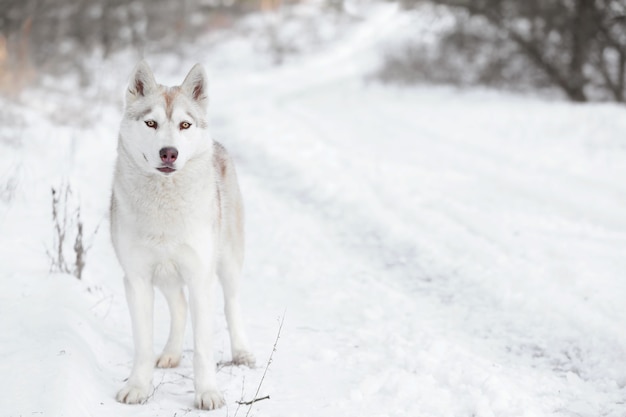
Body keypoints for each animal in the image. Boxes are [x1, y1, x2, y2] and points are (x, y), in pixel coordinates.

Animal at [109, 61, 254, 410]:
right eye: (151, 123)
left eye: (184, 125)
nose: (169, 153)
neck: (164, 207)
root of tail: (218, 146)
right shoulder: (137, 280)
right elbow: (143, 345)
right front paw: (137, 388)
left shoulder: (201, 277)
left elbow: (202, 348)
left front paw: (208, 393)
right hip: (166, 275)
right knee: (179, 306)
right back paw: (171, 354)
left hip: (227, 265)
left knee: (231, 305)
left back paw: (242, 352)